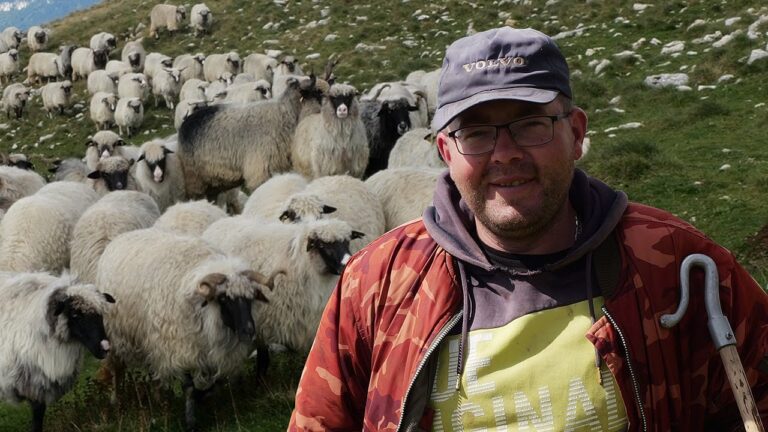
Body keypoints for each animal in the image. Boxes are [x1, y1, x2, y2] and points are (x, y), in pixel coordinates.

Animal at [0, 272, 113, 432]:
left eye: (101, 314)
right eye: (75, 314)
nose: (105, 347)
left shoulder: (41, 386)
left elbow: (39, 417)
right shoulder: (34, 381)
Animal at [95, 228, 272, 430]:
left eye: (250, 298)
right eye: (224, 298)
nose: (249, 331)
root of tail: (123, 235)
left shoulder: (209, 350)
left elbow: (216, 382)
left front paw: (203, 398)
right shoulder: (179, 346)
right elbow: (189, 387)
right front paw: (190, 421)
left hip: (149, 339)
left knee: (153, 368)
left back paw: (159, 397)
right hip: (116, 336)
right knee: (117, 369)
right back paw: (116, 400)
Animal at [178, 76, 318, 201]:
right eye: (317, 93)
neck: (283, 114)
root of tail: (187, 122)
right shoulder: (260, 169)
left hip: (213, 182)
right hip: (195, 180)